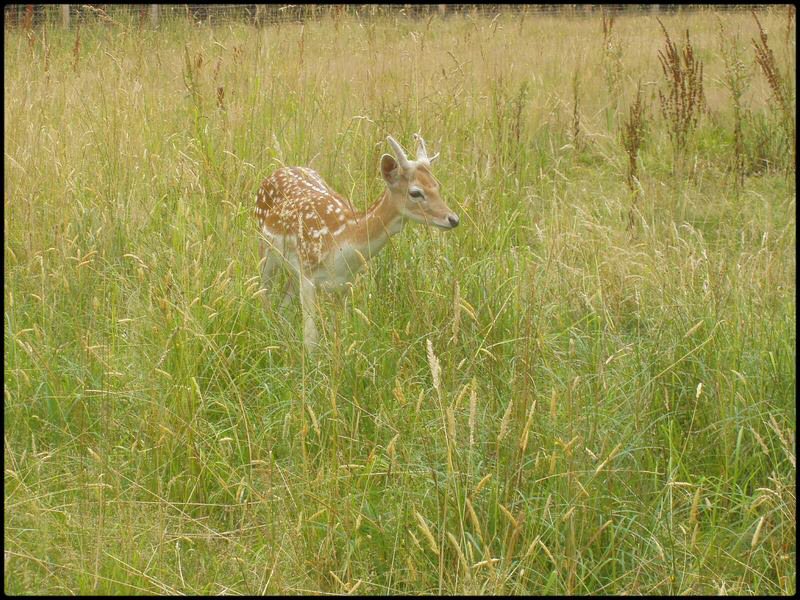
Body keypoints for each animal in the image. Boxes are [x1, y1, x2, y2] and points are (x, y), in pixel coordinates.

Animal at [253, 135, 460, 352]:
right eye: (415, 192)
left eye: (437, 185)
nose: (453, 219)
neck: (344, 239)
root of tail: (275, 172)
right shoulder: (308, 274)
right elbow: (311, 338)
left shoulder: (344, 284)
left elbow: (339, 333)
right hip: (265, 249)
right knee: (263, 293)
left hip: (293, 270)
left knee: (283, 304)